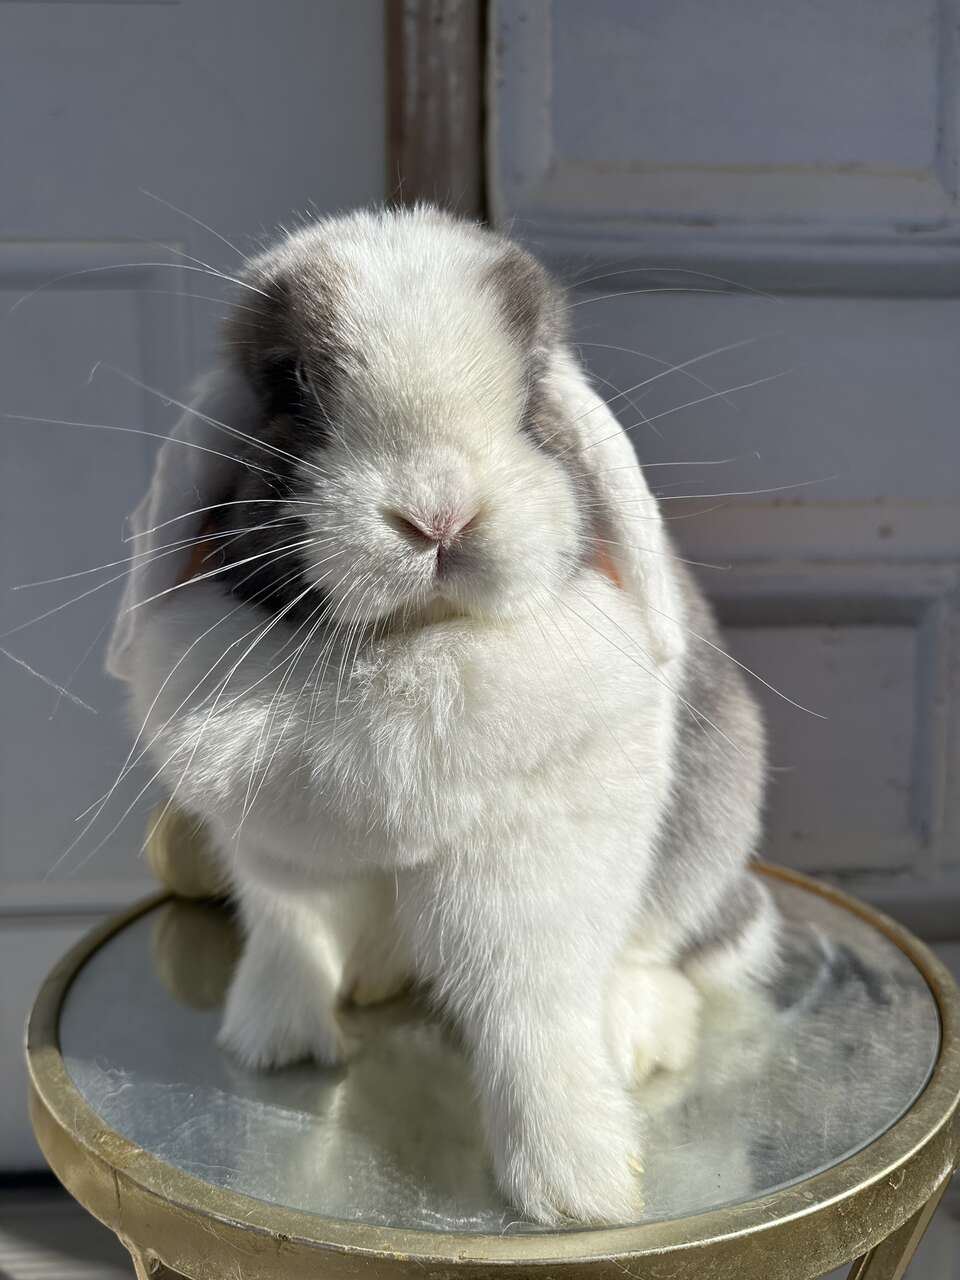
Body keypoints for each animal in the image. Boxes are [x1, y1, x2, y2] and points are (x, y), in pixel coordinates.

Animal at [110, 204, 773, 1223]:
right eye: (288, 383)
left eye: (533, 391)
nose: (438, 516)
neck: (405, 650)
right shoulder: (277, 852)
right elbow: (288, 938)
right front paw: (273, 1041)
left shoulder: (536, 868)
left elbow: (531, 1017)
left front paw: (576, 1189)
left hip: (710, 824)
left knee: (664, 946)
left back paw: (634, 1031)